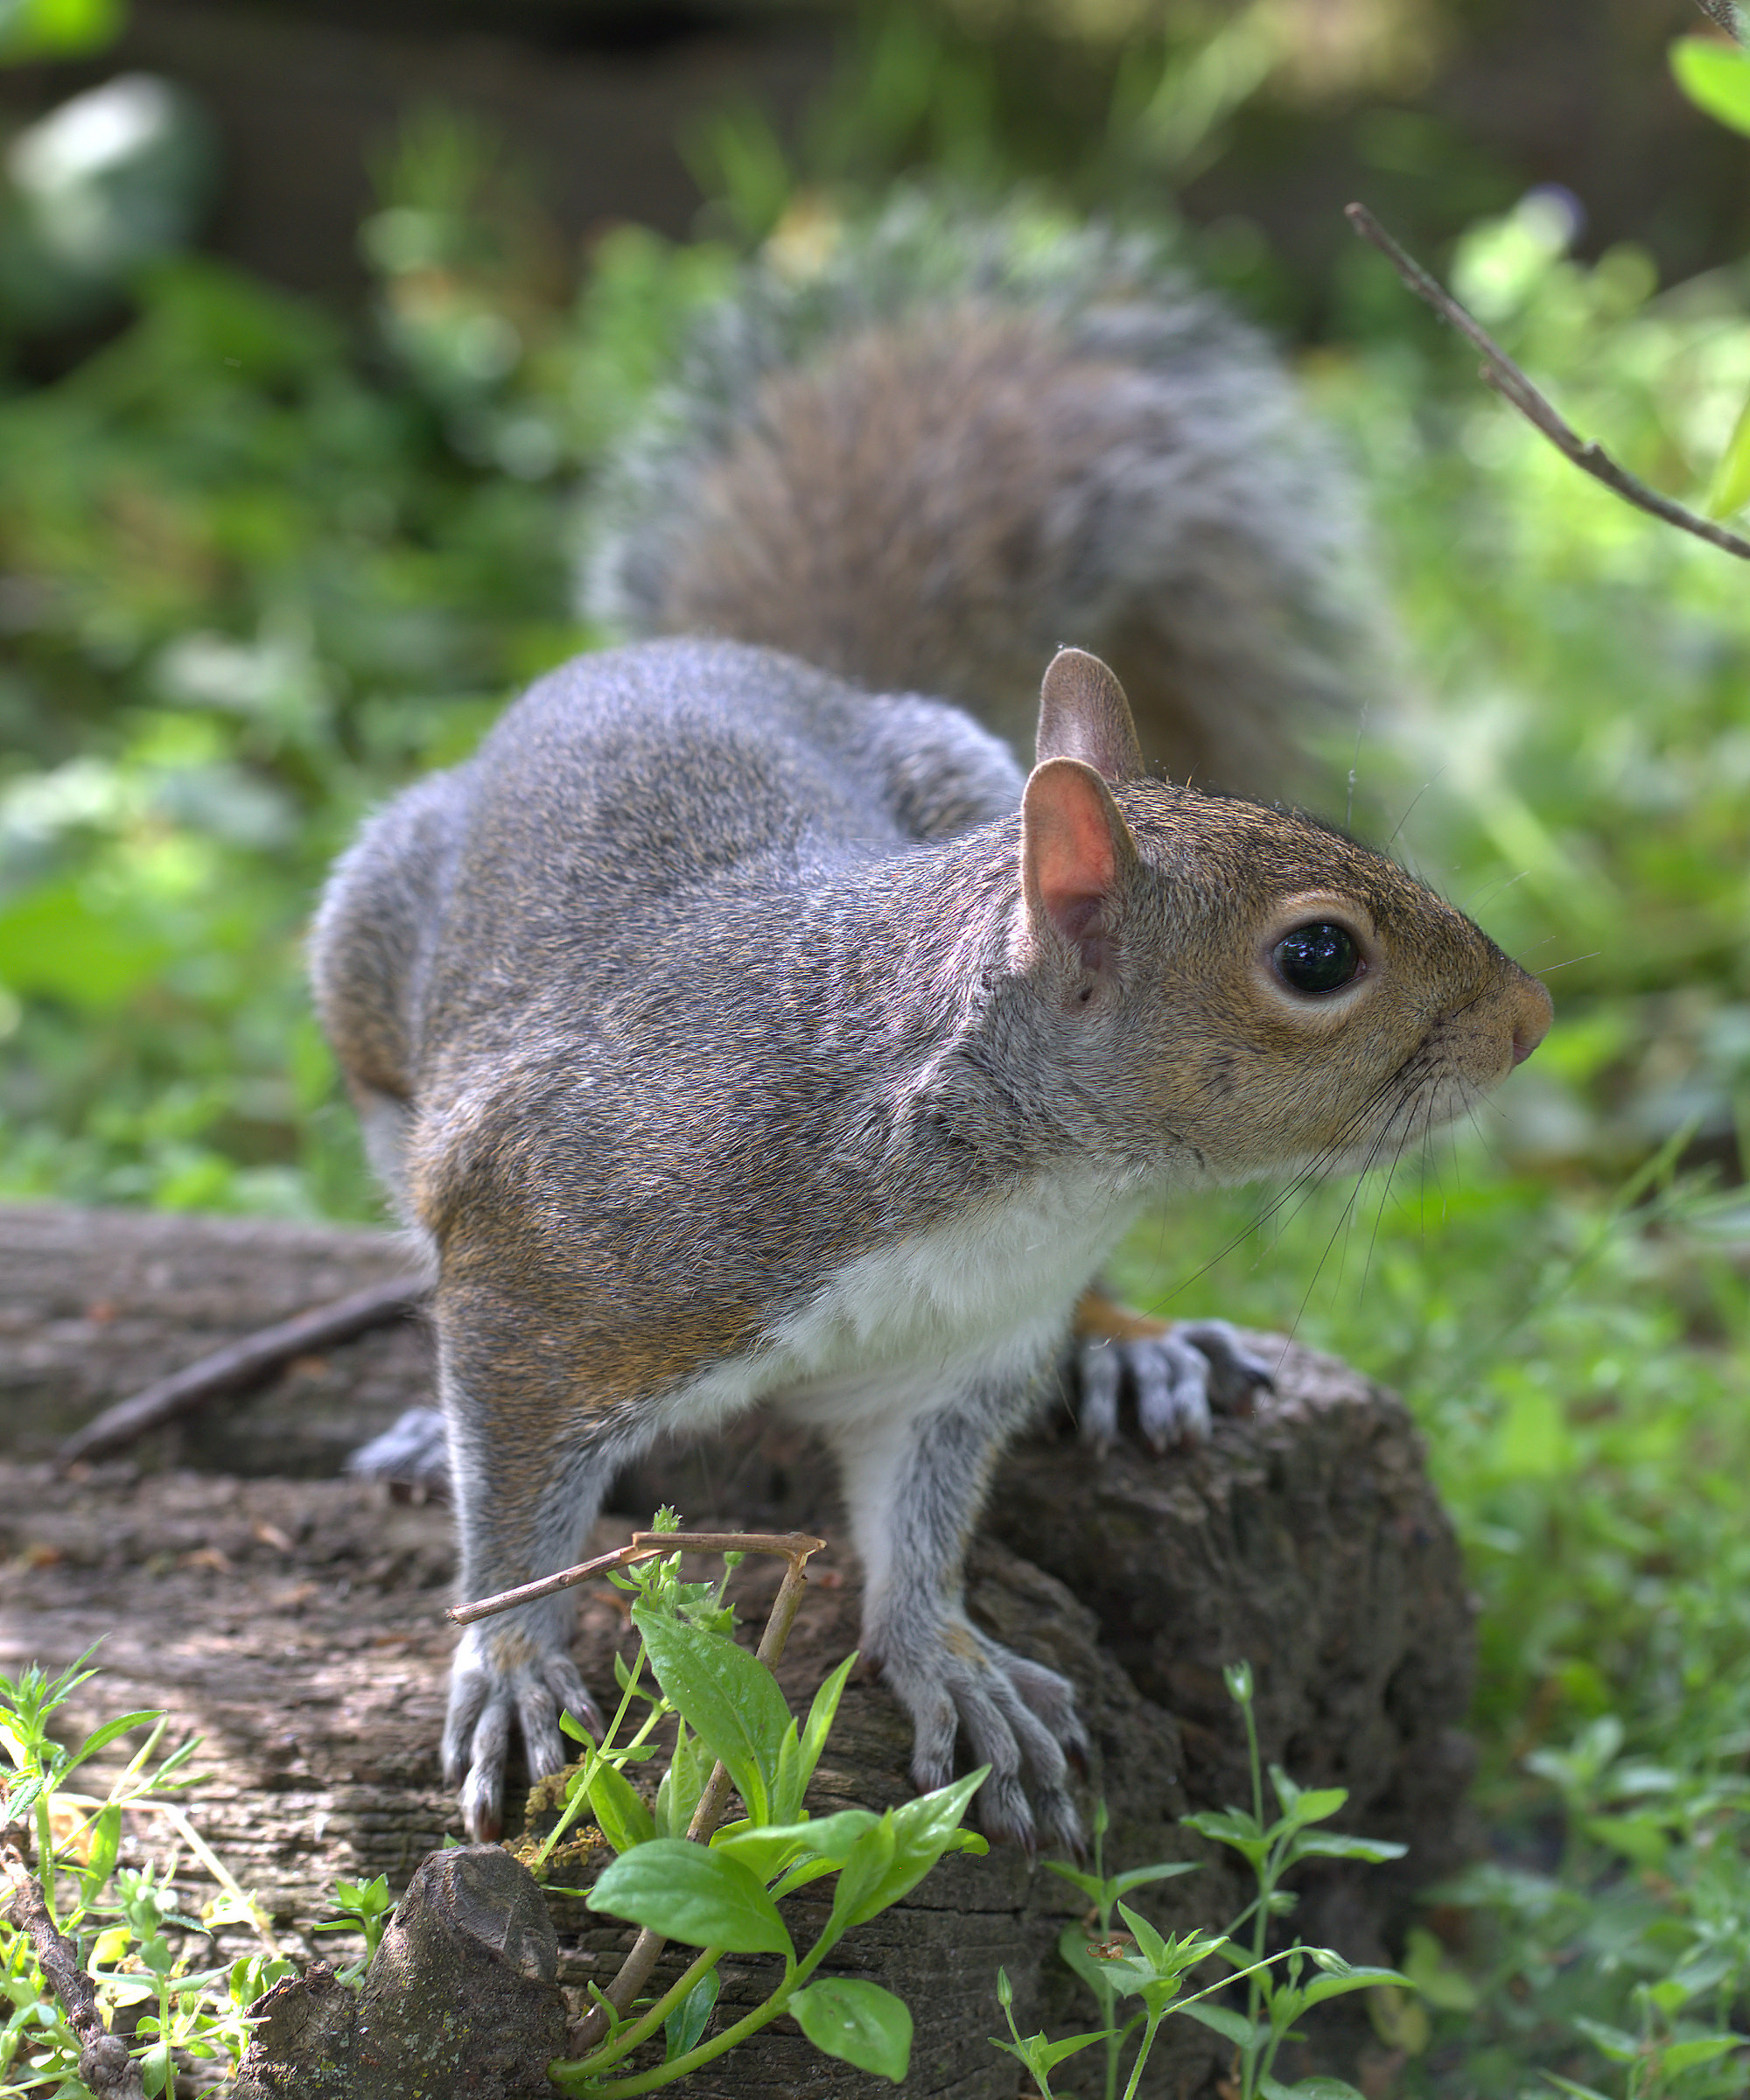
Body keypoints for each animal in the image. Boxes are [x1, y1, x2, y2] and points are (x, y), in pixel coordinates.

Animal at [310, 208, 1552, 1849]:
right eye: (1318, 955)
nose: (1533, 1016)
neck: (1027, 1185)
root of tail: (709, 654)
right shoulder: (554, 1273)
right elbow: (514, 1500)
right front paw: (511, 1662)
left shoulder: (961, 1360)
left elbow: (921, 1529)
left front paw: (949, 1659)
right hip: (368, 989)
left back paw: (1134, 1351)